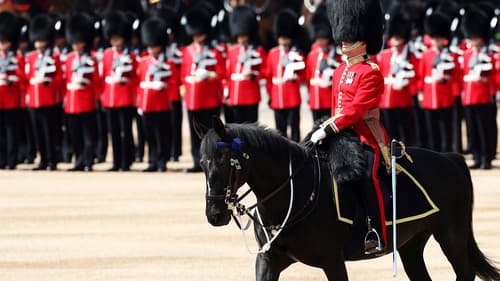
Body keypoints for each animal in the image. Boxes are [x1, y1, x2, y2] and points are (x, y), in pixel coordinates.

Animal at [200, 117, 500, 278]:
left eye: (226, 160)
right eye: (202, 163)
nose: (215, 215)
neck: (292, 196)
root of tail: (449, 158)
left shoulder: (333, 262)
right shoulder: (269, 260)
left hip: (451, 234)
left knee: (465, 273)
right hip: (411, 243)